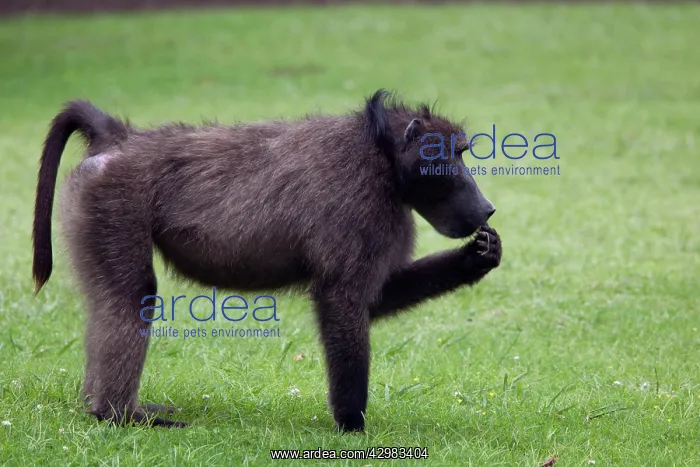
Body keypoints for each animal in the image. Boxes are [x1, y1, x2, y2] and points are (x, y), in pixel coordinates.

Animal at [32, 90, 502, 432]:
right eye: (454, 154)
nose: (487, 208)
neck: (381, 156)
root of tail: (120, 139)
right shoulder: (362, 210)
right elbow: (343, 299)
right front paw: (352, 425)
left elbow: (377, 298)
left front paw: (477, 257)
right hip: (113, 202)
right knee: (132, 295)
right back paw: (119, 415)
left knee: (109, 300)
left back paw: (100, 406)